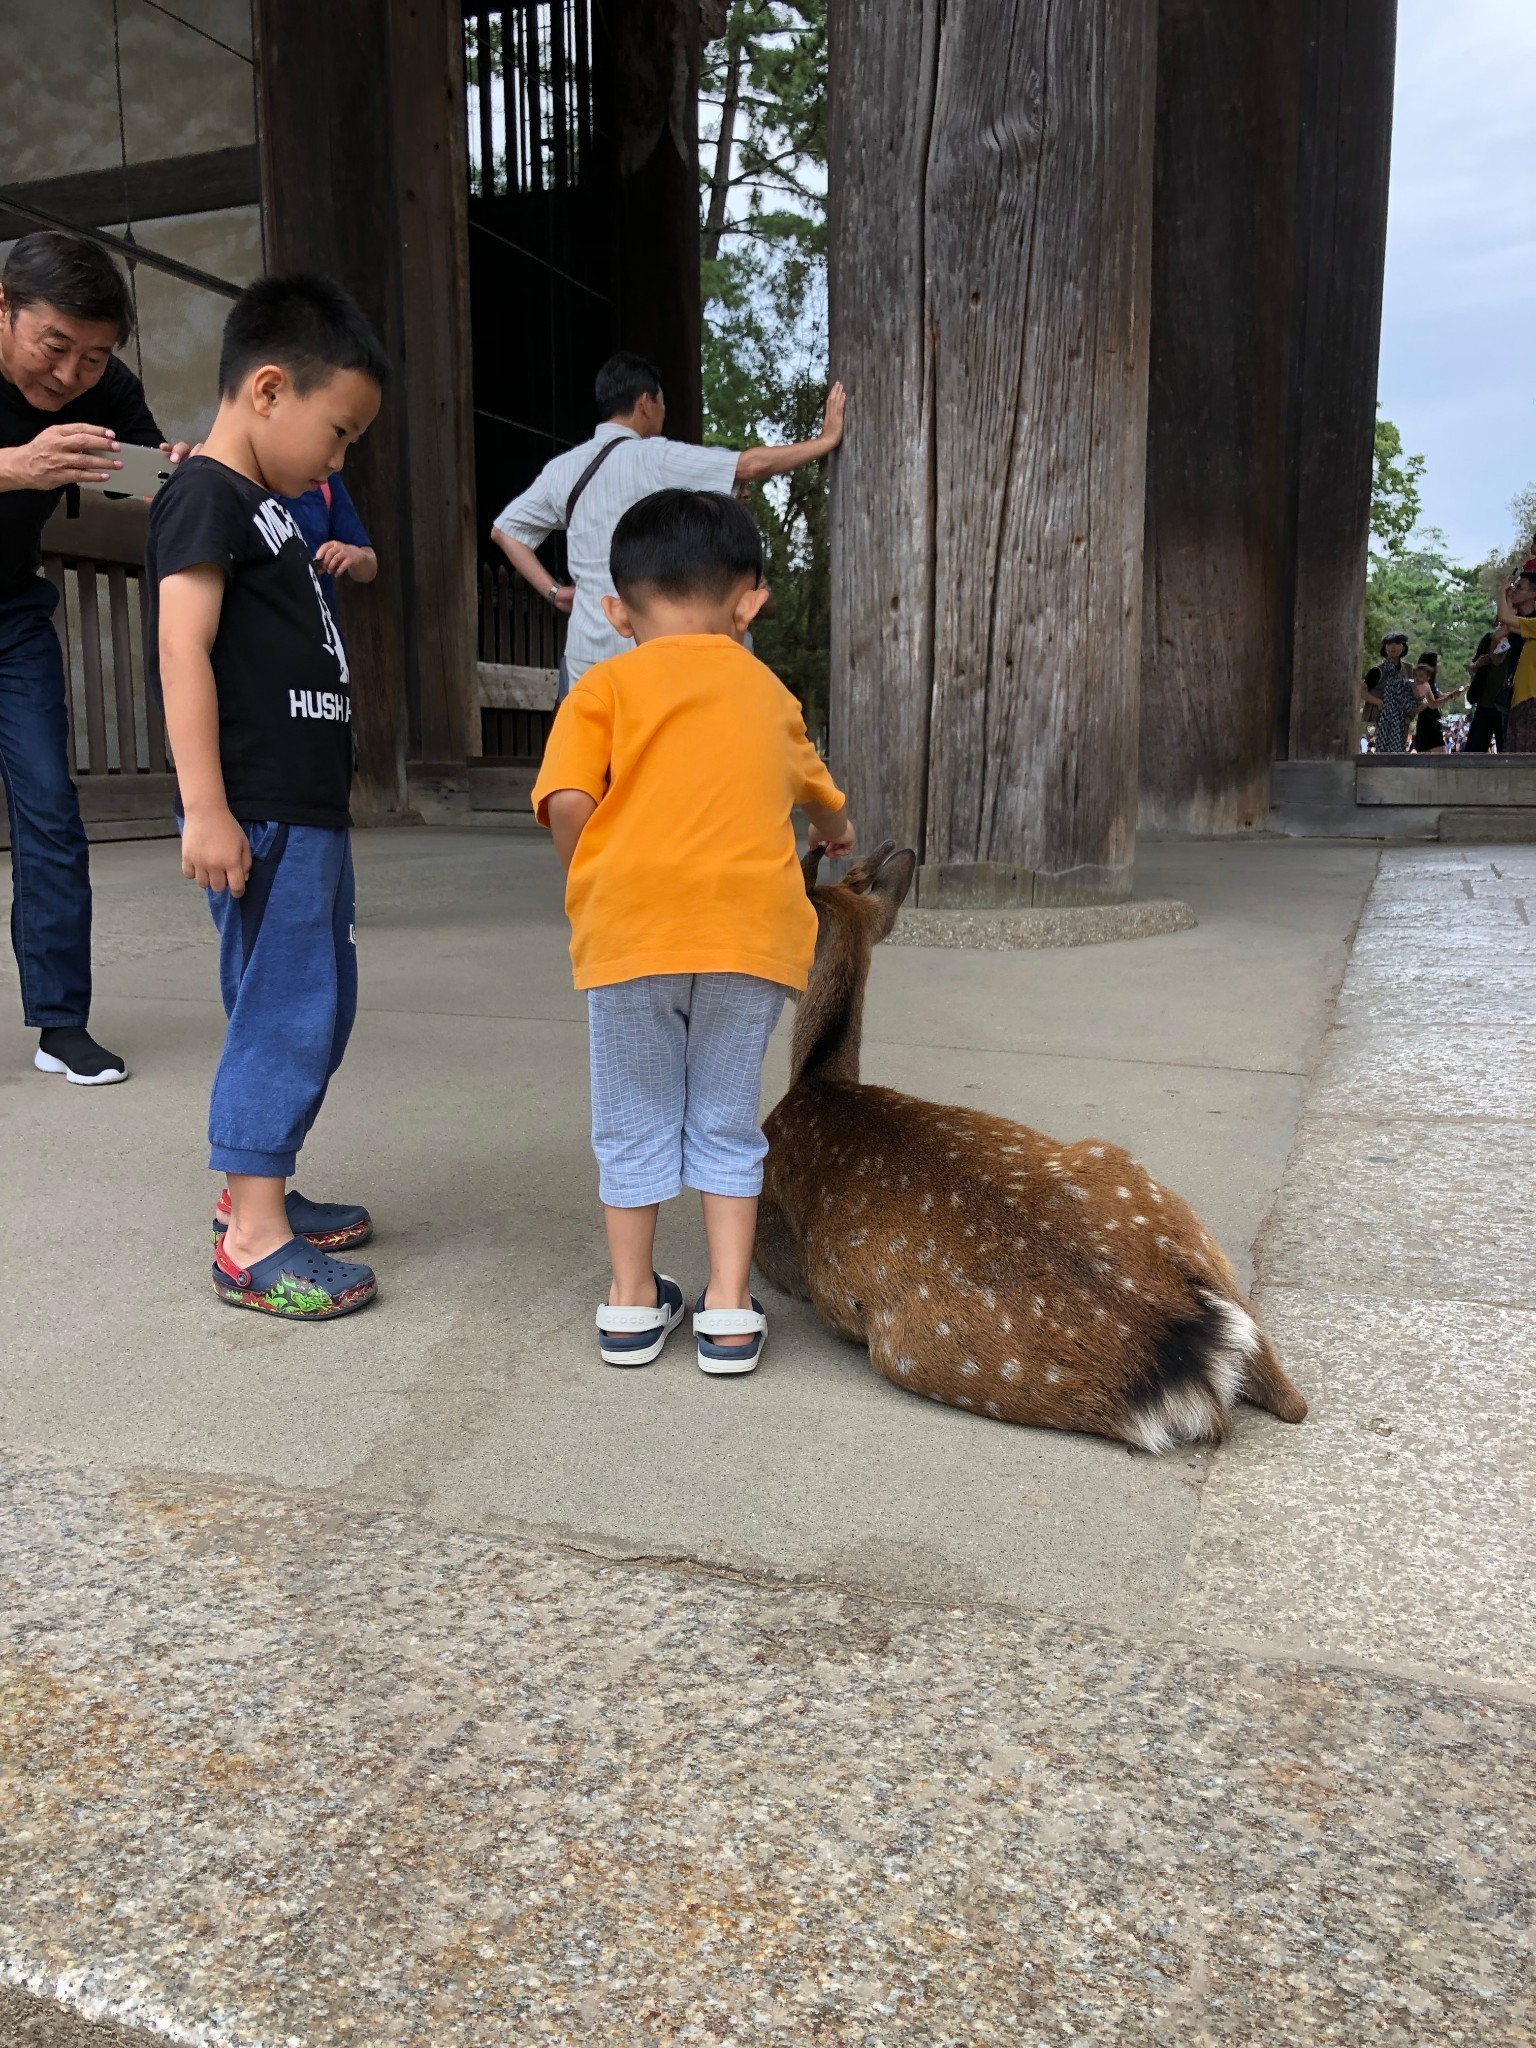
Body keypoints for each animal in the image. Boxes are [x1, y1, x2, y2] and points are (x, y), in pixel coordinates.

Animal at [757, 839, 1310, 1449]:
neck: (818, 1082)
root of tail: (1190, 1344)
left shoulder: (771, 1225)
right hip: (1140, 1184)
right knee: (1295, 1400)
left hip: (929, 1357)